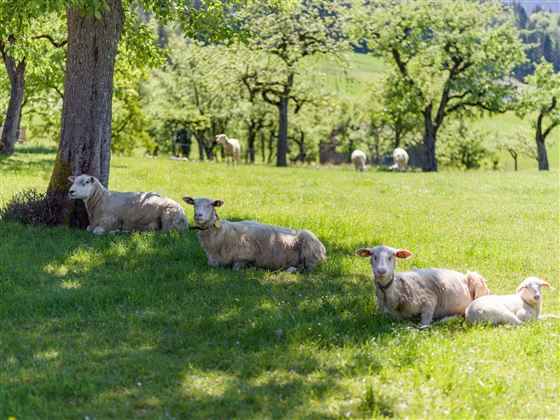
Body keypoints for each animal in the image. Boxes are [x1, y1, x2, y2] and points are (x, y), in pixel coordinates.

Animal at [182, 195, 326, 270]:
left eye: (210, 205)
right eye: (194, 204)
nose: (198, 215)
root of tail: (323, 249)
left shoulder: (245, 256)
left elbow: (236, 267)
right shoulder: (213, 261)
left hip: (309, 251)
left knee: (306, 268)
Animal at [354, 244, 490, 326]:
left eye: (391, 256)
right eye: (373, 255)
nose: (381, 271)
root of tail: (461, 274)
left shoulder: (429, 299)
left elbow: (423, 325)